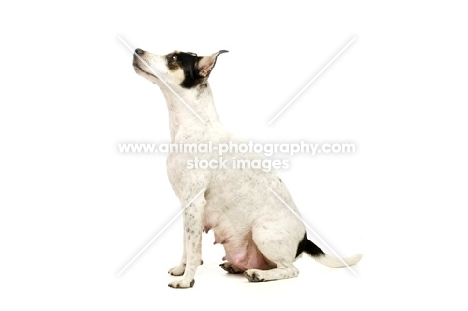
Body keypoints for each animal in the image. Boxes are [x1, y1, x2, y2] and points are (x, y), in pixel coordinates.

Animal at [131, 47, 362, 288]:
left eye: (174, 58)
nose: (137, 50)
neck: (192, 124)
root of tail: (304, 240)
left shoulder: (194, 203)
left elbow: (194, 250)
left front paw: (187, 280)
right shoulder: (187, 207)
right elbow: (187, 245)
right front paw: (180, 269)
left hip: (262, 230)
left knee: (290, 270)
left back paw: (259, 275)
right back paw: (238, 267)